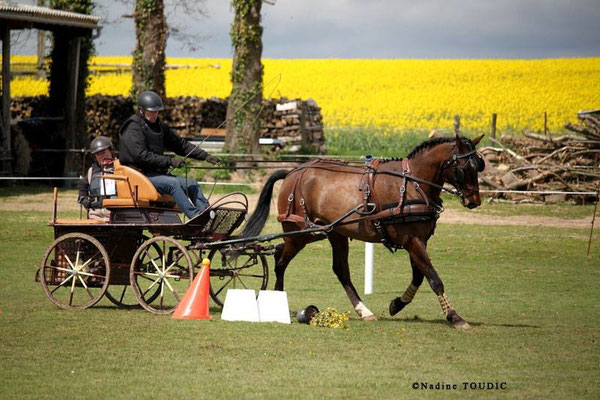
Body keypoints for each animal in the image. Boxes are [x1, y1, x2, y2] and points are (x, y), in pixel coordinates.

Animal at [241, 134, 486, 328]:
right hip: (300, 233)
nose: (474, 200)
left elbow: (419, 275)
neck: (412, 184)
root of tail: (293, 172)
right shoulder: (412, 240)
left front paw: (397, 304)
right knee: (281, 260)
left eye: (479, 165)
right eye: (465, 168)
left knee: (337, 269)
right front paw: (454, 317)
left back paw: (363, 310)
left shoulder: (419, 240)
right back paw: (276, 297)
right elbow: (434, 278)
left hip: (331, 232)